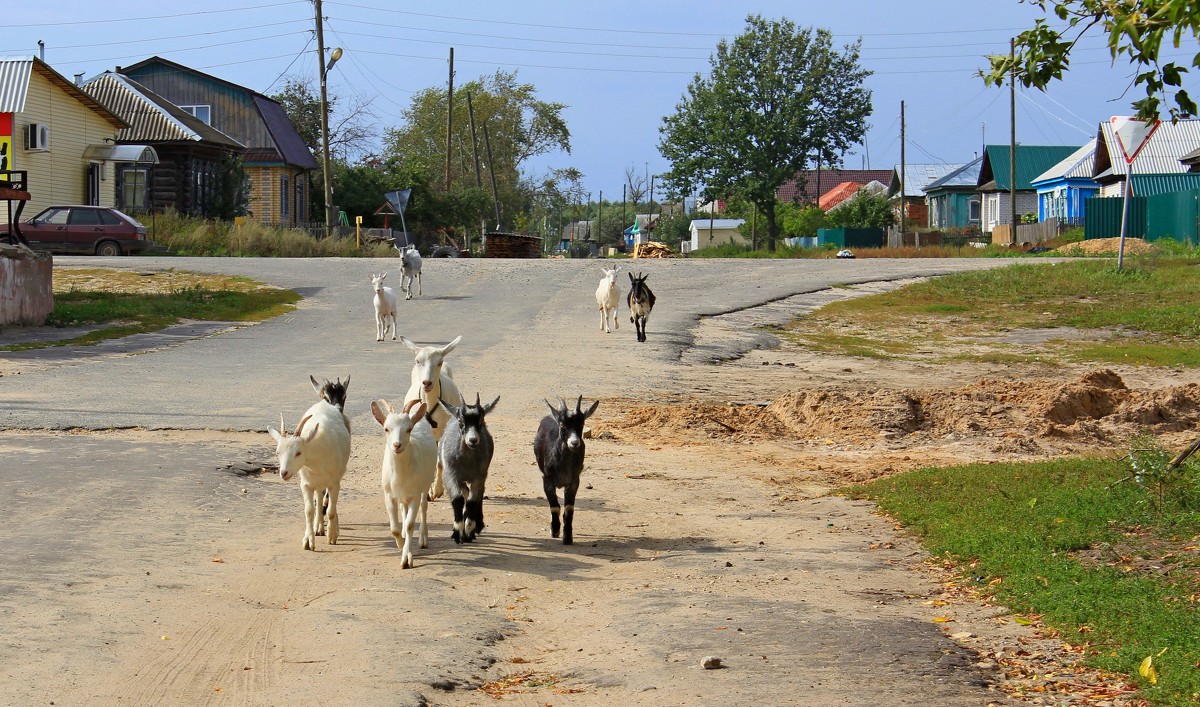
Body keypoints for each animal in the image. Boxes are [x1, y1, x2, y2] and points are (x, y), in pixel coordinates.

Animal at [268, 400, 350, 549]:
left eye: (298, 452)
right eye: (277, 452)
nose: (284, 473)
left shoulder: (334, 484)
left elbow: (330, 511)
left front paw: (332, 536)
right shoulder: (306, 484)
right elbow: (309, 511)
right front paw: (308, 540)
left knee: (329, 503)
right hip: (315, 482)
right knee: (319, 495)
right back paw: (319, 527)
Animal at [372, 396, 439, 568]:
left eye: (408, 429)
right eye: (386, 429)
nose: (397, 445)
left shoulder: (414, 495)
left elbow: (410, 524)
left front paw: (407, 558)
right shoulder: (389, 496)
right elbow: (394, 528)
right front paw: (401, 543)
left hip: (425, 485)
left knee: (423, 507)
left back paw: (423, 538)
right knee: (403, 508)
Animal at [398, 333, 463, 499]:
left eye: (439, 362)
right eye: (417, 361)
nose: (426, 383)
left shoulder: (442, 431)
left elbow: (439, 462)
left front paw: (437, 490)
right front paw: (427, 490)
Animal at [439, 391, 499, 540]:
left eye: (481, 422)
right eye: (461, 422)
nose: (473, 440)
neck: (466, 462)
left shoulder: (479, 476)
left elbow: (473, 500)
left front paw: (470, 529)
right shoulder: (450, 475)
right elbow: (458, 498)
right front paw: (457, 531)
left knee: (478, 495)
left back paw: (477, 524)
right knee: (465, 492)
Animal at [535, 393, 600, 542]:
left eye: (582, 423)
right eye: (562, 424)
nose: (574, 443)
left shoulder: (574, 481)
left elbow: (569, 508)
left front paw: (568, 536)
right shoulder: (547, 479)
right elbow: (555, 506)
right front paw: (555, 530)